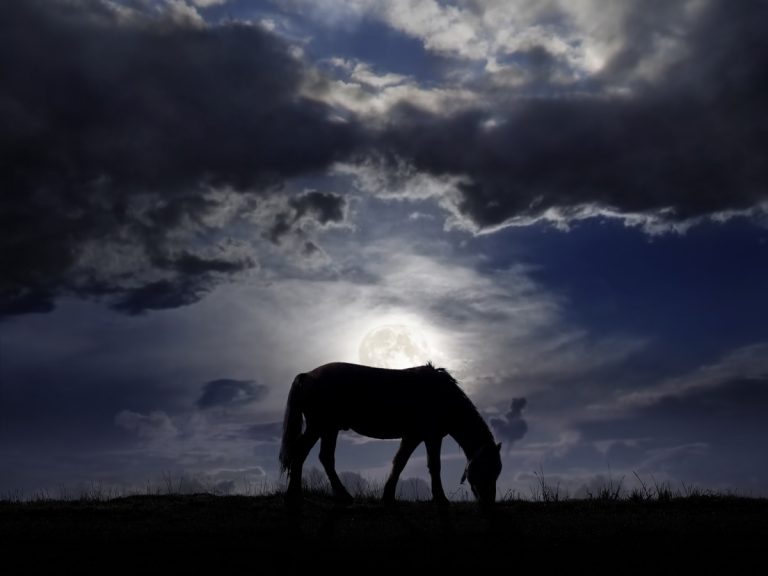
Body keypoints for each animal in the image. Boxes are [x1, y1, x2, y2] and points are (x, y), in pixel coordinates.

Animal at [279, 362, 502, 505]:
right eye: (487, 468)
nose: (489, 503)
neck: (443, 396)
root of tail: (307, 375)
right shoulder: (431, 437)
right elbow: (434, 466)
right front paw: (440, 499)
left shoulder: (413, 436)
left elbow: (399, 463)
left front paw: (388, 495)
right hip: (319, 426)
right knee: (300, 453)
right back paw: (295, 494)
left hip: (329, 429)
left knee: (324, 458)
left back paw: (341, 495)